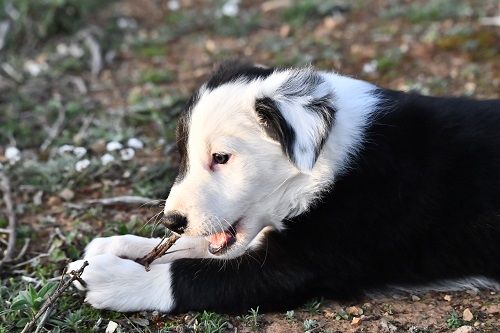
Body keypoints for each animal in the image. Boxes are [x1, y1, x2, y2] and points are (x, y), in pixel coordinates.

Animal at [69, 61, 500, 312]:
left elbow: (195, 277)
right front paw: (115, 247)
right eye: (184, 154)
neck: (328, 163)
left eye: (221, 157)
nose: (173, 220)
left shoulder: (300, 266)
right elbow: (194, 248)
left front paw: (113, 278)